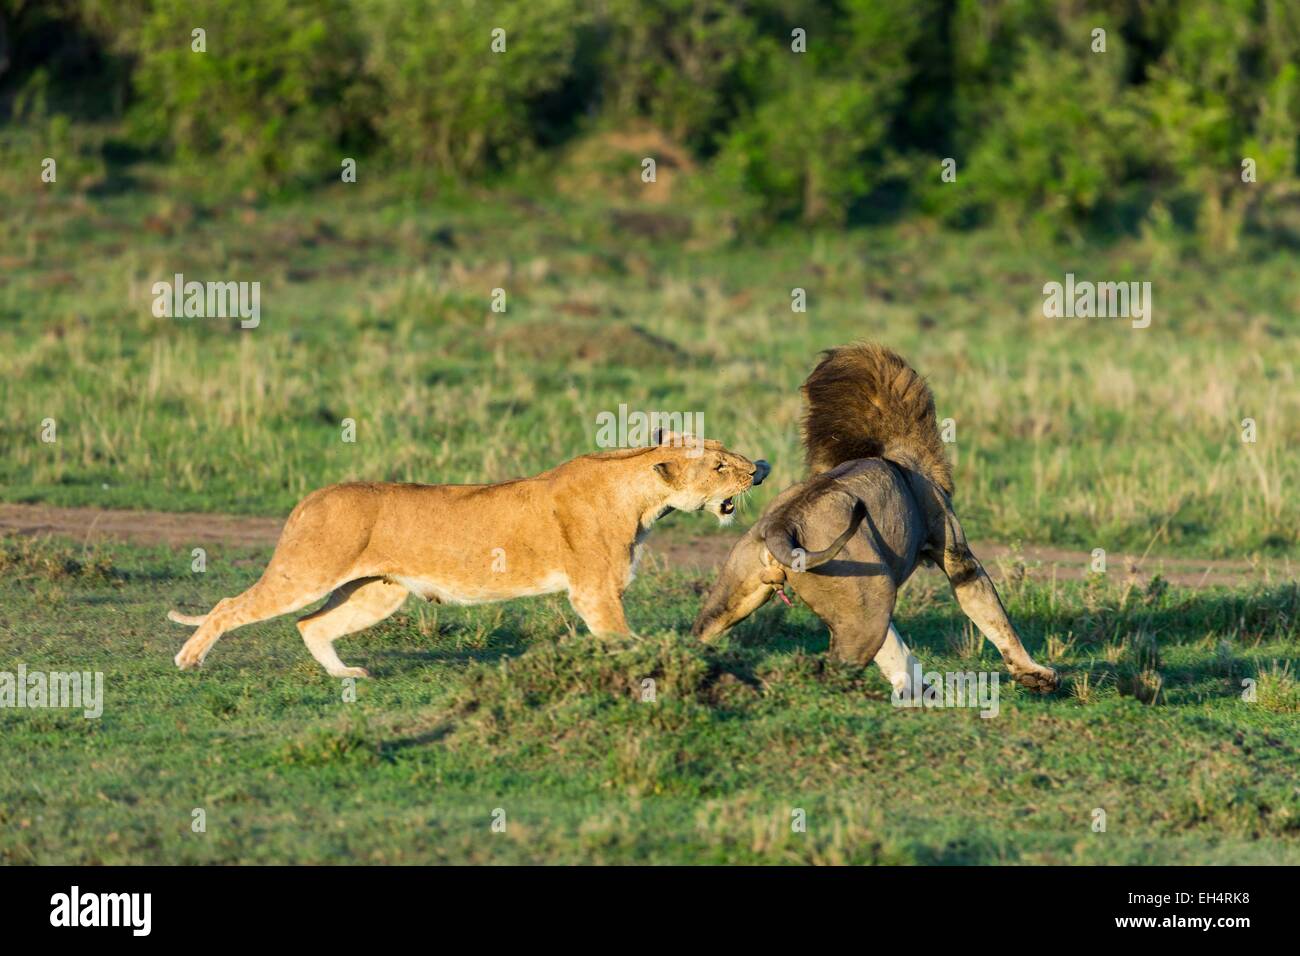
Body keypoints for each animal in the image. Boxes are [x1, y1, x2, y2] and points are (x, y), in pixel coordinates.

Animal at [171, 431, 769, 677]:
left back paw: (345, 677)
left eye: (729, 454)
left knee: (311, 625)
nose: (760, 469)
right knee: (229, 606)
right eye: (719, 466)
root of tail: (314, 496)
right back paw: (189, 661)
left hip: (378, 593)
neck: (642, 497)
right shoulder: (594, 593)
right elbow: (626, 641)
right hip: (307, 571)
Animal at [692, 344, 1058, 695]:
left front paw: (915, 687)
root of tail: (784, 524)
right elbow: (994, 615)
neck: (894, 451)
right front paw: (1036, 675)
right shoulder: (957, 554)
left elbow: (894, 646)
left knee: (702, 629)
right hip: (870, 603)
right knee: (833, 667)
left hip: (740, 591)